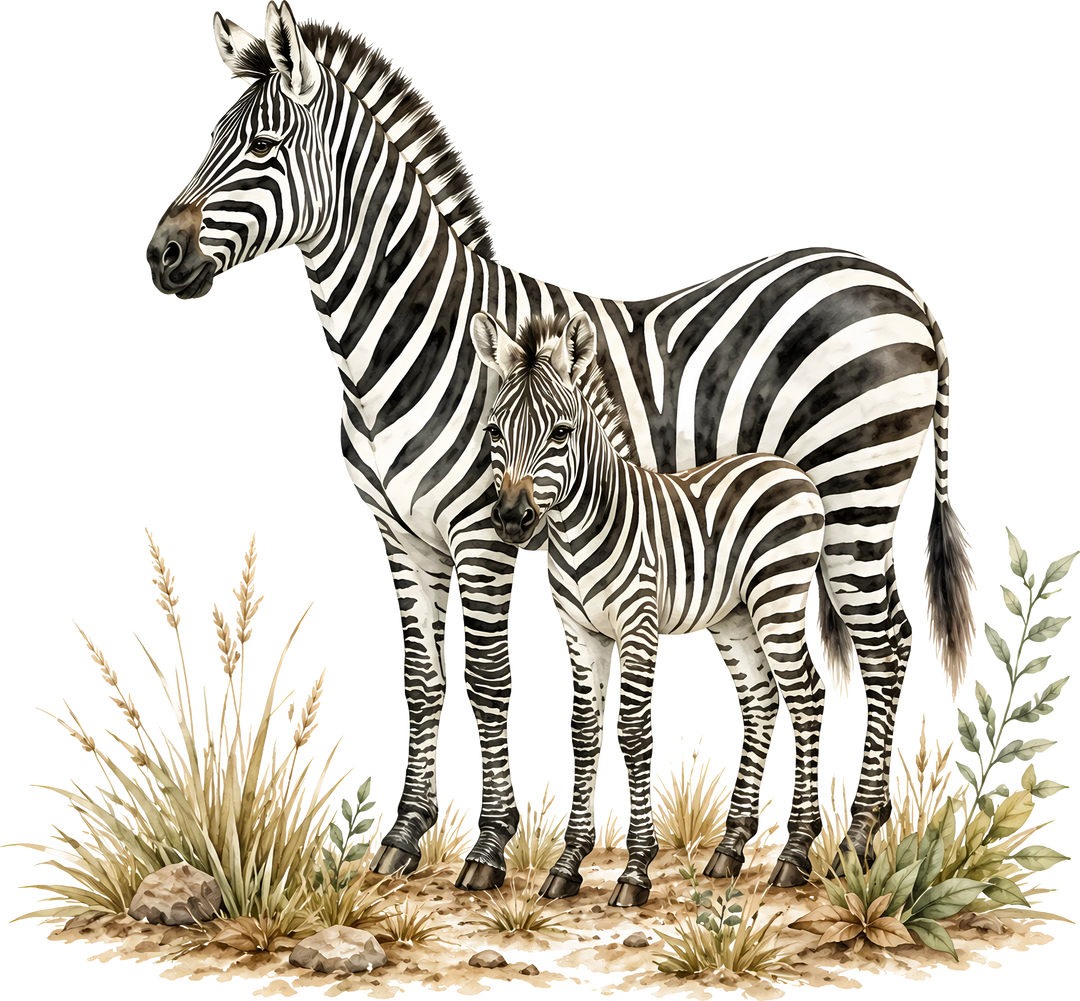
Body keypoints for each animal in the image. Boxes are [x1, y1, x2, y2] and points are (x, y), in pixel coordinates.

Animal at [471, 310, 829, 903]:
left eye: (562, 433)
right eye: (494, 431)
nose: (511, 521)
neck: (580, 527)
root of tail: (789, 468)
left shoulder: (637, 624)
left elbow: (634, 731)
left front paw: (636, 868)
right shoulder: (579, 632)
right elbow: (583, 732)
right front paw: (567, 865)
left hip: (778, 594)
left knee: (807, 699)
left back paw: (795, 855)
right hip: (733, 615)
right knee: (760, 702)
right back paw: (729, 853)